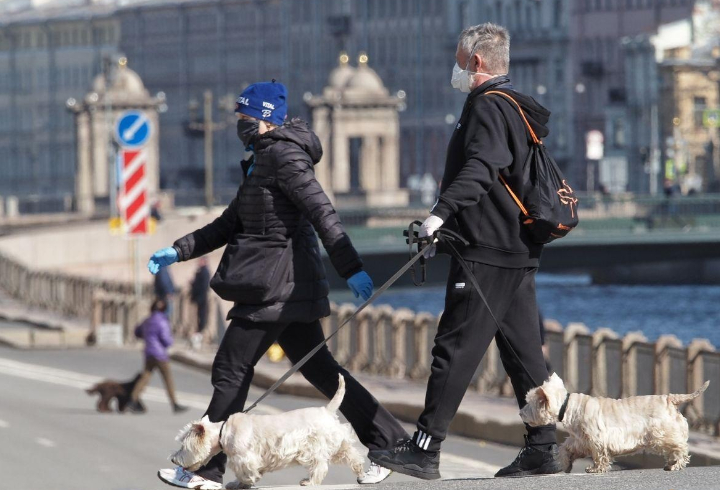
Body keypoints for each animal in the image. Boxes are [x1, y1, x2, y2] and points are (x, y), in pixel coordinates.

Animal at [170, 376, 366, 486]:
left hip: (314, 447)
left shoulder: (244, 457)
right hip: (339, 443)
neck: (222, 432)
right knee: (352, 455)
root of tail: (327, 410)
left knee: (320, 466)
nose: (173, 459)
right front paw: (240, 483)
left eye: (183, 446)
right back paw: (361, 474)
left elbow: (245, 471)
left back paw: (309, 482)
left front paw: (247, 481)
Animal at [516, 374, 708, 472]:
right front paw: (565, 464)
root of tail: (670, 398)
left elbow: (599, 455)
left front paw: (595, 468)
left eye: (528, 403)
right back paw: (670, 464)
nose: (520, 413)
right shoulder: (580, 440)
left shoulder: (597, 439)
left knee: (680, 447)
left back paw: (676, 465)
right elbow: (565, 449)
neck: (569, 407)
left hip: (662, 434)